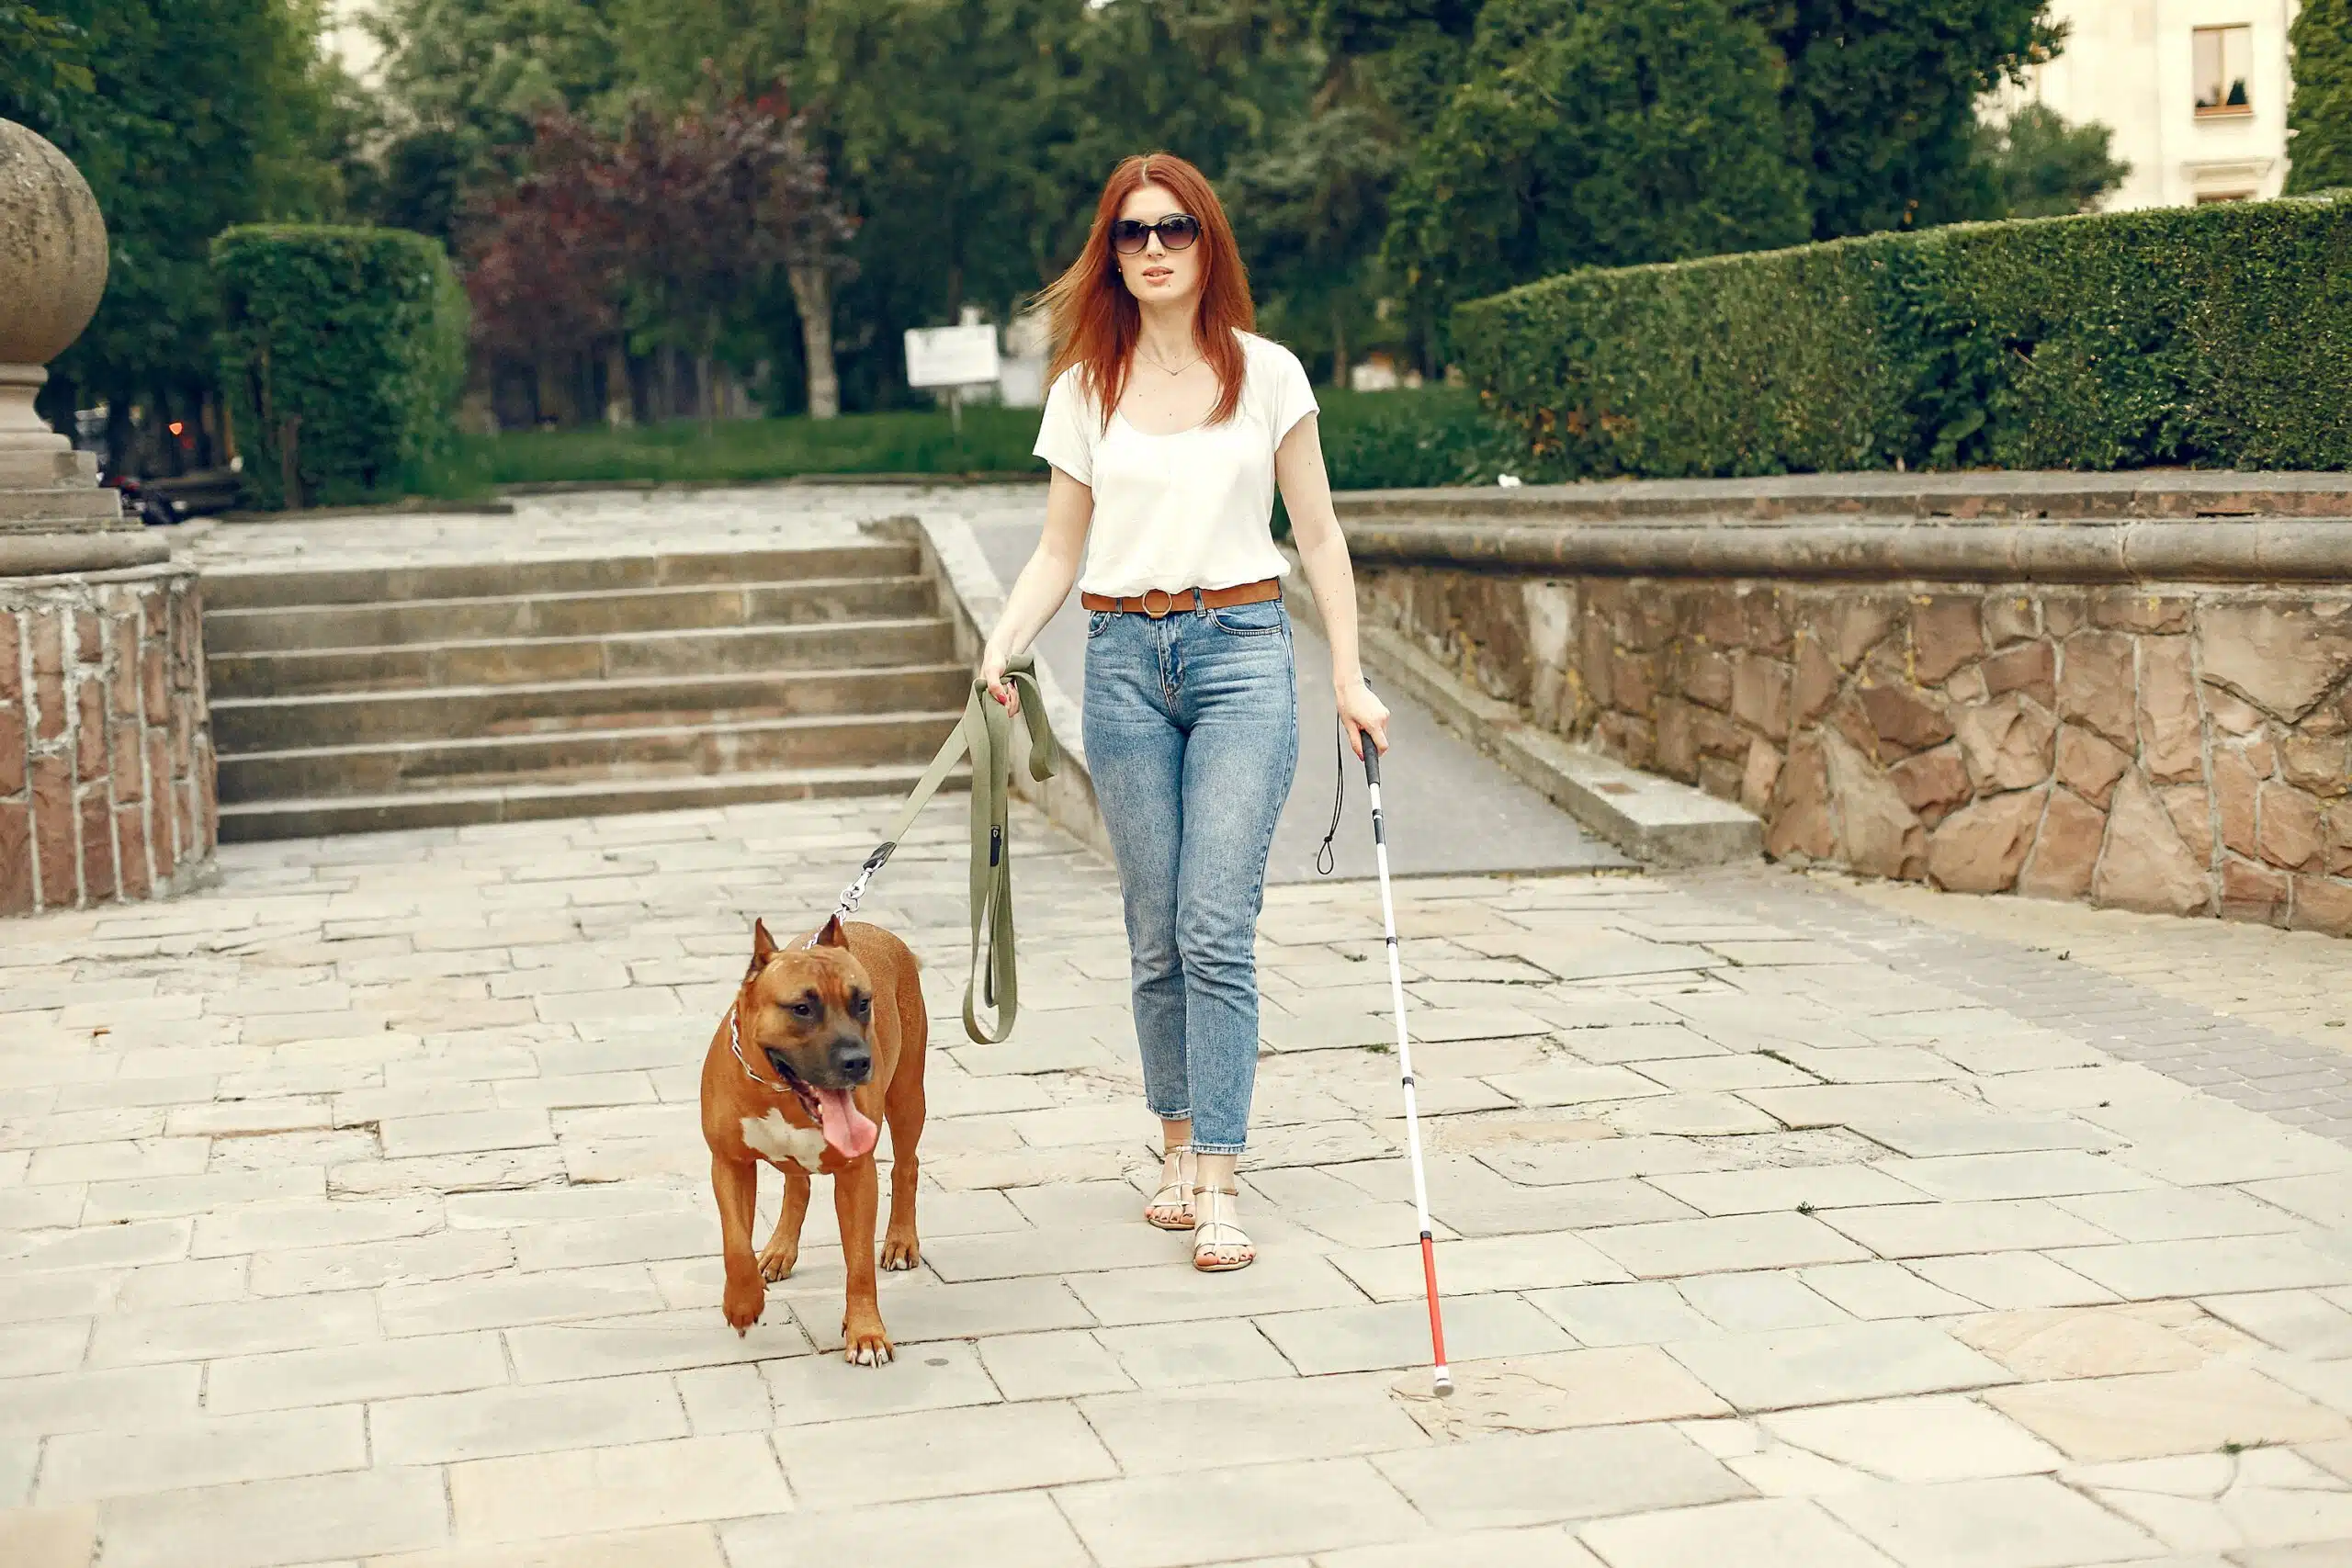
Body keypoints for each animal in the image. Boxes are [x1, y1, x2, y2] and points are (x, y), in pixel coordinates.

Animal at [695, 911, 926, 1363]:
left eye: (863, 1003)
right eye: (801, 1009)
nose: (858, 1061)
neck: (778, 1091)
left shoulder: (857, 1174)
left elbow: (859, 1265)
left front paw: (865, 1332)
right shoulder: (729, 1163)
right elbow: (735, 1242)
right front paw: (742, 1302)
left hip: (908, 1096)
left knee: (906, 1166)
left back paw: (901, 1242)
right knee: (796, 1185)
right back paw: (779, 1250)